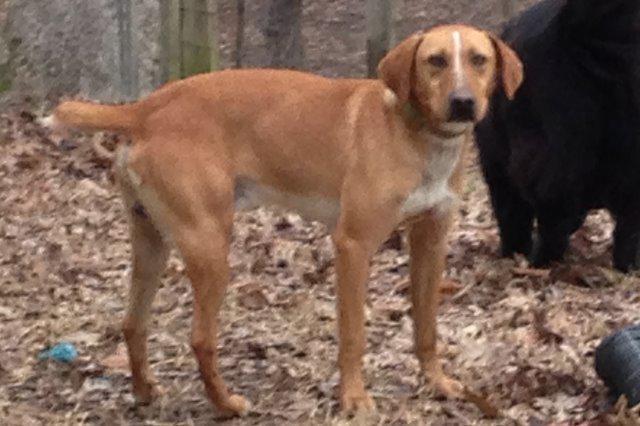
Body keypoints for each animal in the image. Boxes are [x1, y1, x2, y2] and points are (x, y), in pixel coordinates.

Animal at [42, 25, 524, 416]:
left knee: (132, 324)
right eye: (435, 61)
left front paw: (437, 382)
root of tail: (145, 108)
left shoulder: (430, 240)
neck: (417, 136)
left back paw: (144, 392)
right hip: (210, 245)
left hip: (151, 242)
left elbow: (427, 326)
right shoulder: (353, 245)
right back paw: (226, 405)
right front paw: (354, 398)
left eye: (479, 60)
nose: (463, 103)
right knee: (200, 339)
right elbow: (352, 334)